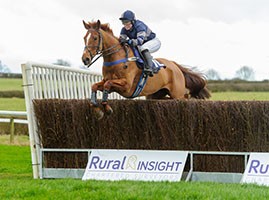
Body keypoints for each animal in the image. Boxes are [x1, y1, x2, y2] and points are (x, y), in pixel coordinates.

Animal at [81, 20, 209, 119]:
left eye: (95, 38)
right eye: (84, 38)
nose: (85, 59)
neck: (117, 57)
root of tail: (174, 65)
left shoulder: (126, 86)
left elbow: (107, 84)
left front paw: (107, 108)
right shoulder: (108, 82)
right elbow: (95, 86)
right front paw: (97, 110)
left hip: (177, 94)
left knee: (185, 99)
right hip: (156, 94)